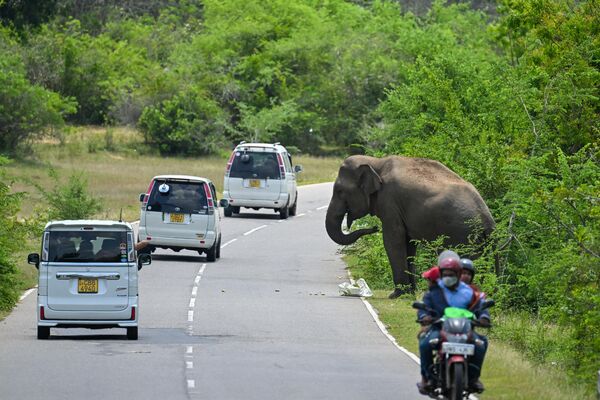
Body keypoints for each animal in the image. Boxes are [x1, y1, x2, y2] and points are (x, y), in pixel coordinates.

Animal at [326, 155, 494, 298]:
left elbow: (393, 240)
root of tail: (488, 221)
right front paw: (409, 293)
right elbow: (409, 243)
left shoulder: (389, 201)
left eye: (340, 191)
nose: (374, 228)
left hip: (463, 236)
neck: (376, 162)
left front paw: (396, 295)